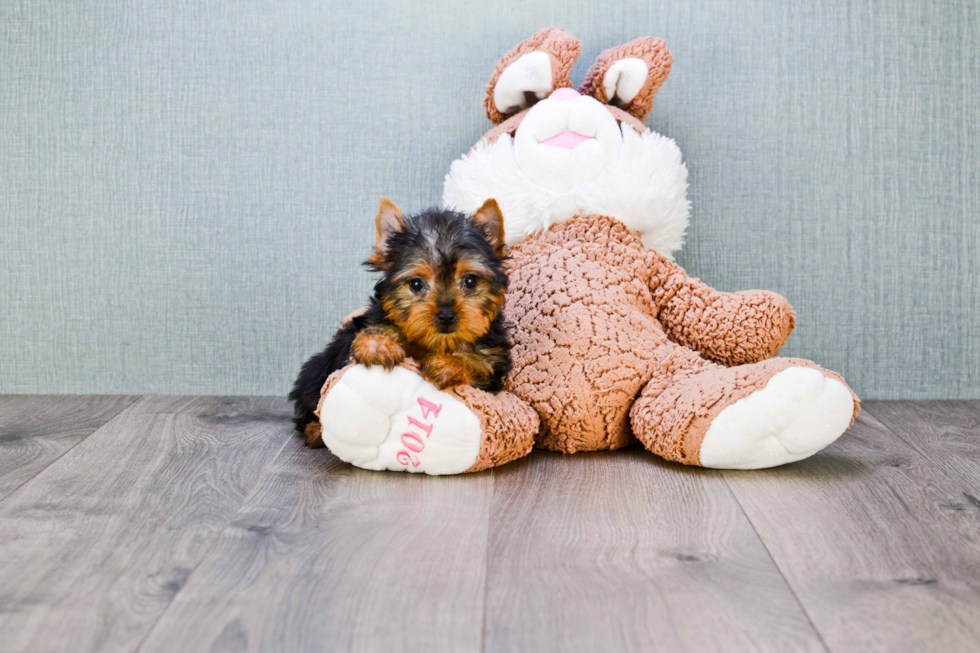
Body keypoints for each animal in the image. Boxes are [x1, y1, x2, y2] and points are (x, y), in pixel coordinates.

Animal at [288, 196, 510, 446]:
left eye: (470, 281)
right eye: (416, 284)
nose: (446, 316)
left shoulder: (492, 366)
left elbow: (477, 365)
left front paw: (449, 364)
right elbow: (378, 327)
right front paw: (378, 345)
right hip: (316, 372)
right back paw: (315, 429)